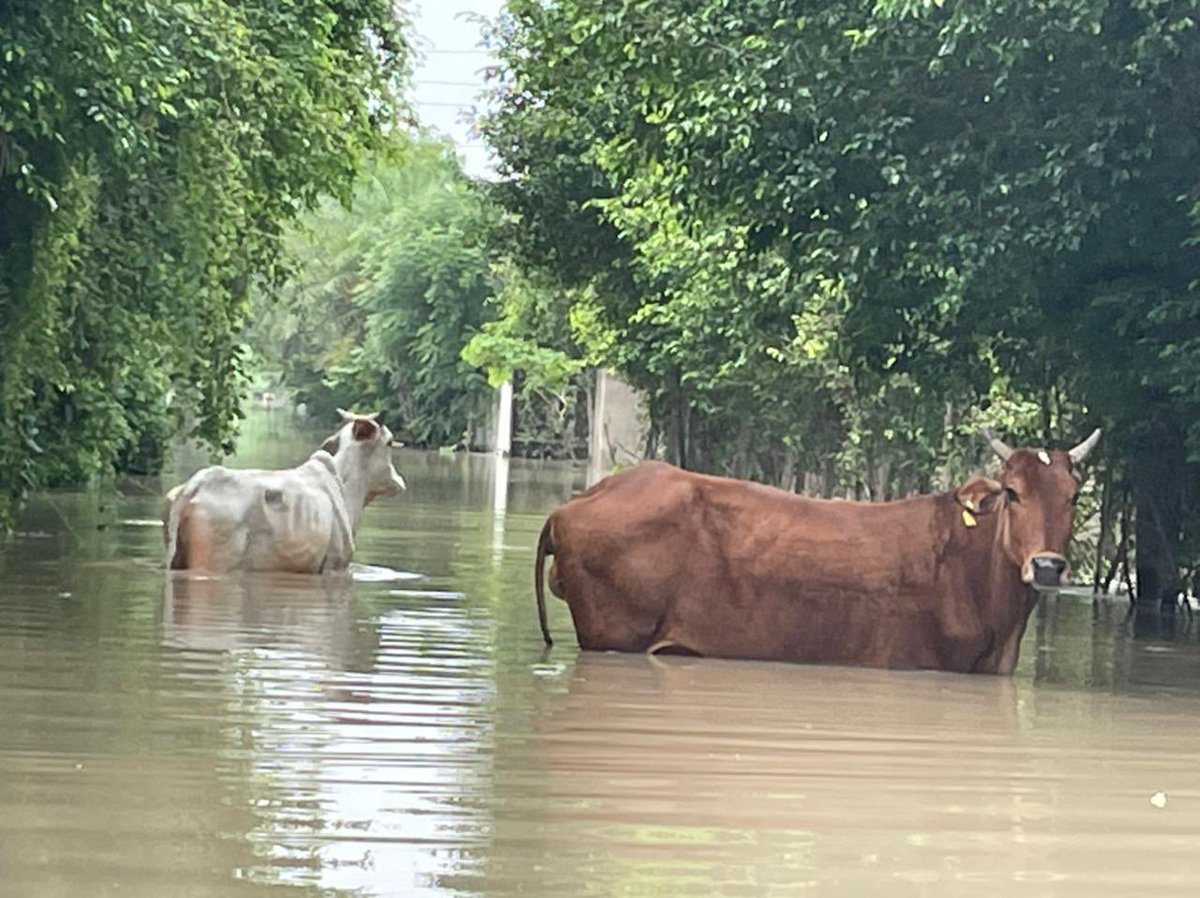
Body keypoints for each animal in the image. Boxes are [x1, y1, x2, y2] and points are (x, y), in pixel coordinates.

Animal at [165, 409, 406, 573]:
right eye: (390, 442)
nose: (399, 482)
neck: (348, 490)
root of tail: (194, 485)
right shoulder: (334, 565)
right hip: (214, 561)